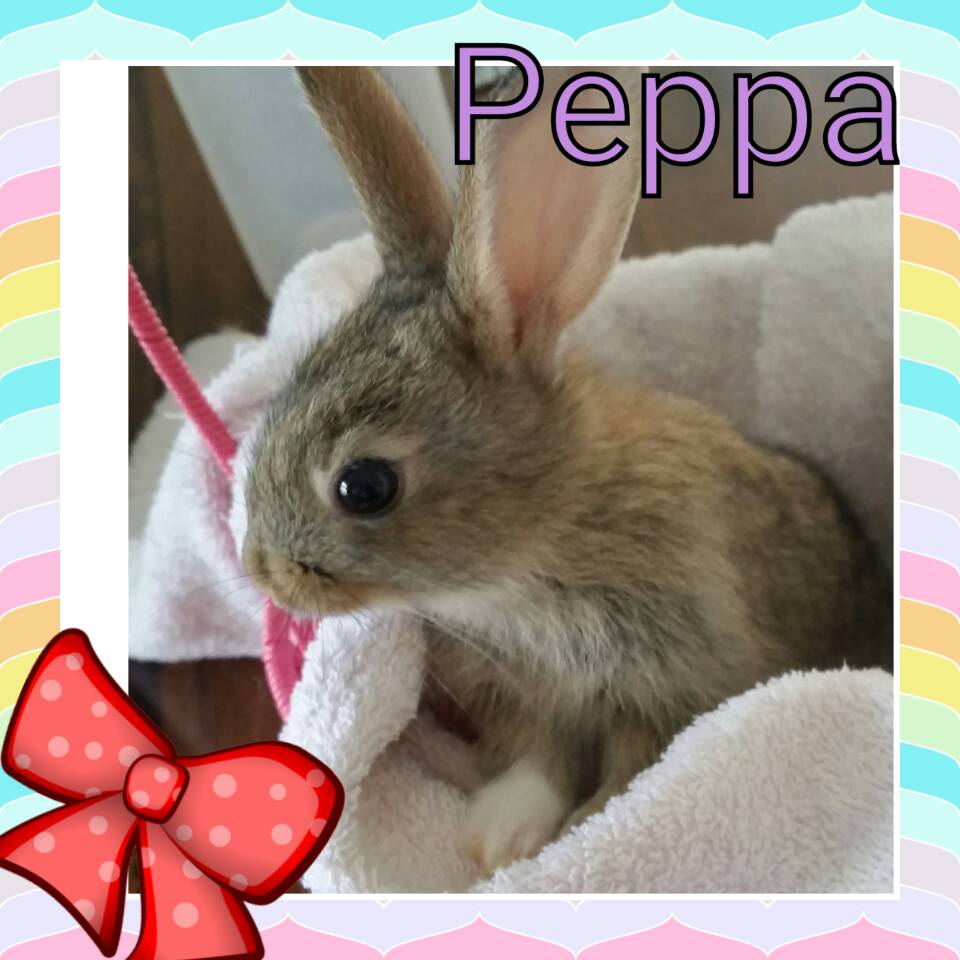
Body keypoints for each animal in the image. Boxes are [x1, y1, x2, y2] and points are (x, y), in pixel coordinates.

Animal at [242, 65, 892, 876]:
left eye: (364, 487)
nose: (263, 572)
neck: (541, 541)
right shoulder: (518, 694)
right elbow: (538, 757)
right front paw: (497, 834)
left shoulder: (672, 677)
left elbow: (632, 770)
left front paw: (566, 835)